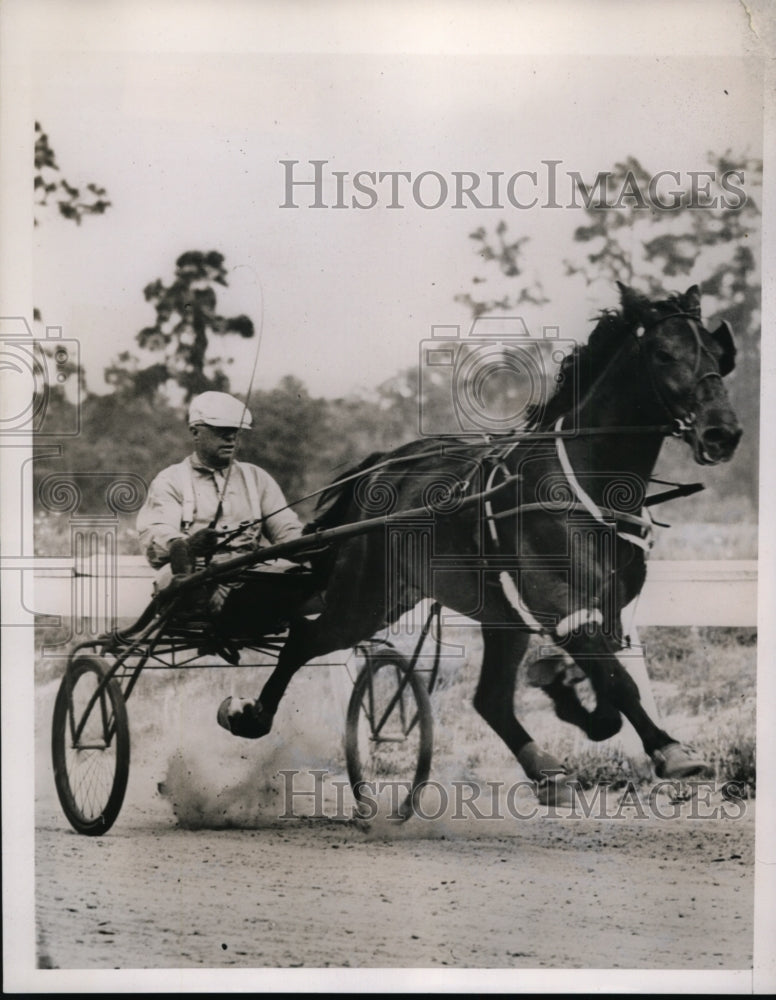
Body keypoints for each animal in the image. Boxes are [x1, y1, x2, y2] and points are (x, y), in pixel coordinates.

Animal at [217, 284, 740, 804]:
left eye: (719, 355)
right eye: (663, 353)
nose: (723, 432)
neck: (586, 480)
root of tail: (380, 468)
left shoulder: (603, 609)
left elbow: (608, 694)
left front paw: (565, 692)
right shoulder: (563, 603)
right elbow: (620, 683)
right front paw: (670, 749)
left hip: (486, 612)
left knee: (489, 699)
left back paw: (544, 769)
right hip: (366, 598)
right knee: (304, 639)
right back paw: (252, 716)